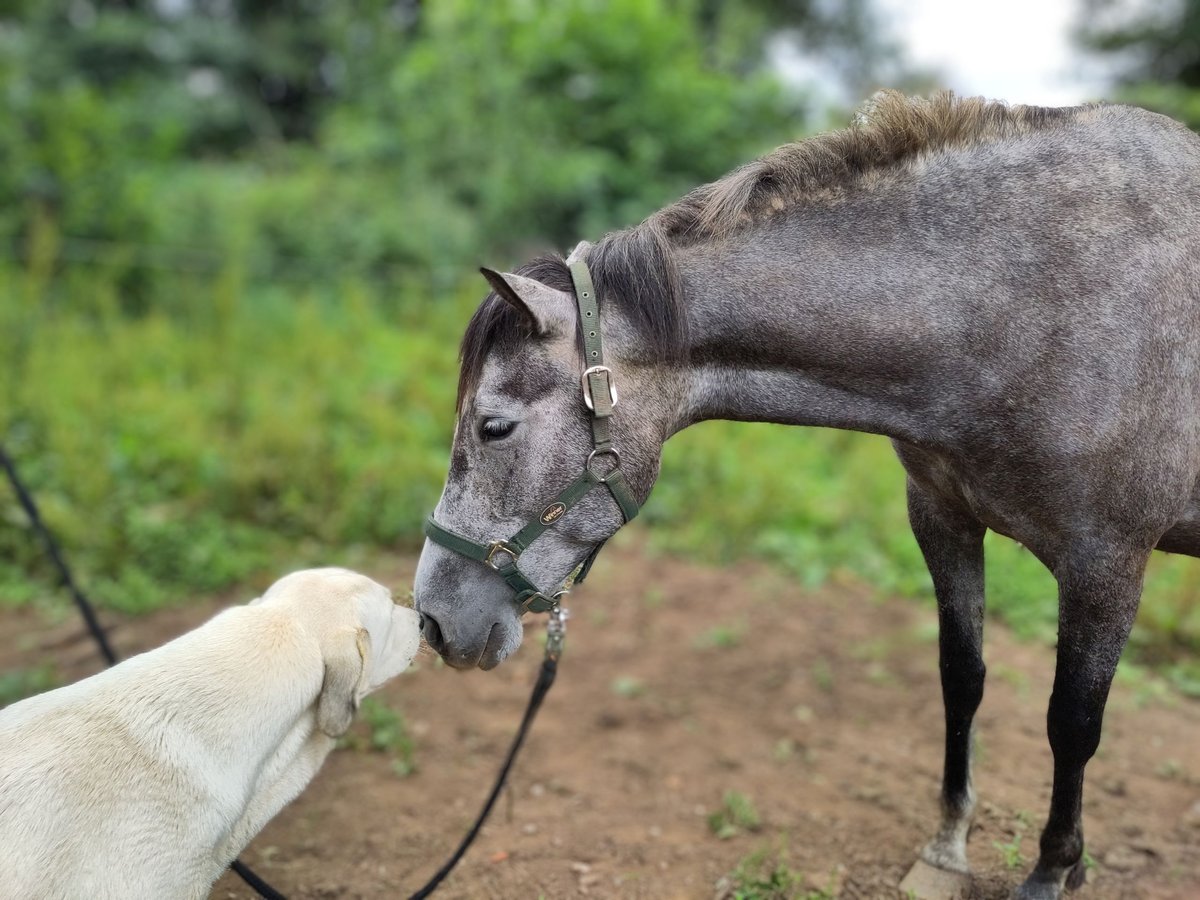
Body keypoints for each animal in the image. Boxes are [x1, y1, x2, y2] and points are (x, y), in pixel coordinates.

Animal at [410, 93, 1200, 900]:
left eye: (494, 426)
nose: (433, 620)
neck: (1022, 305)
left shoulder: (1106, 562)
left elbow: (1073, 722)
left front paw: (1051, 869)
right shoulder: (943, 518)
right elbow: (962, 679)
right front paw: (948, 850)